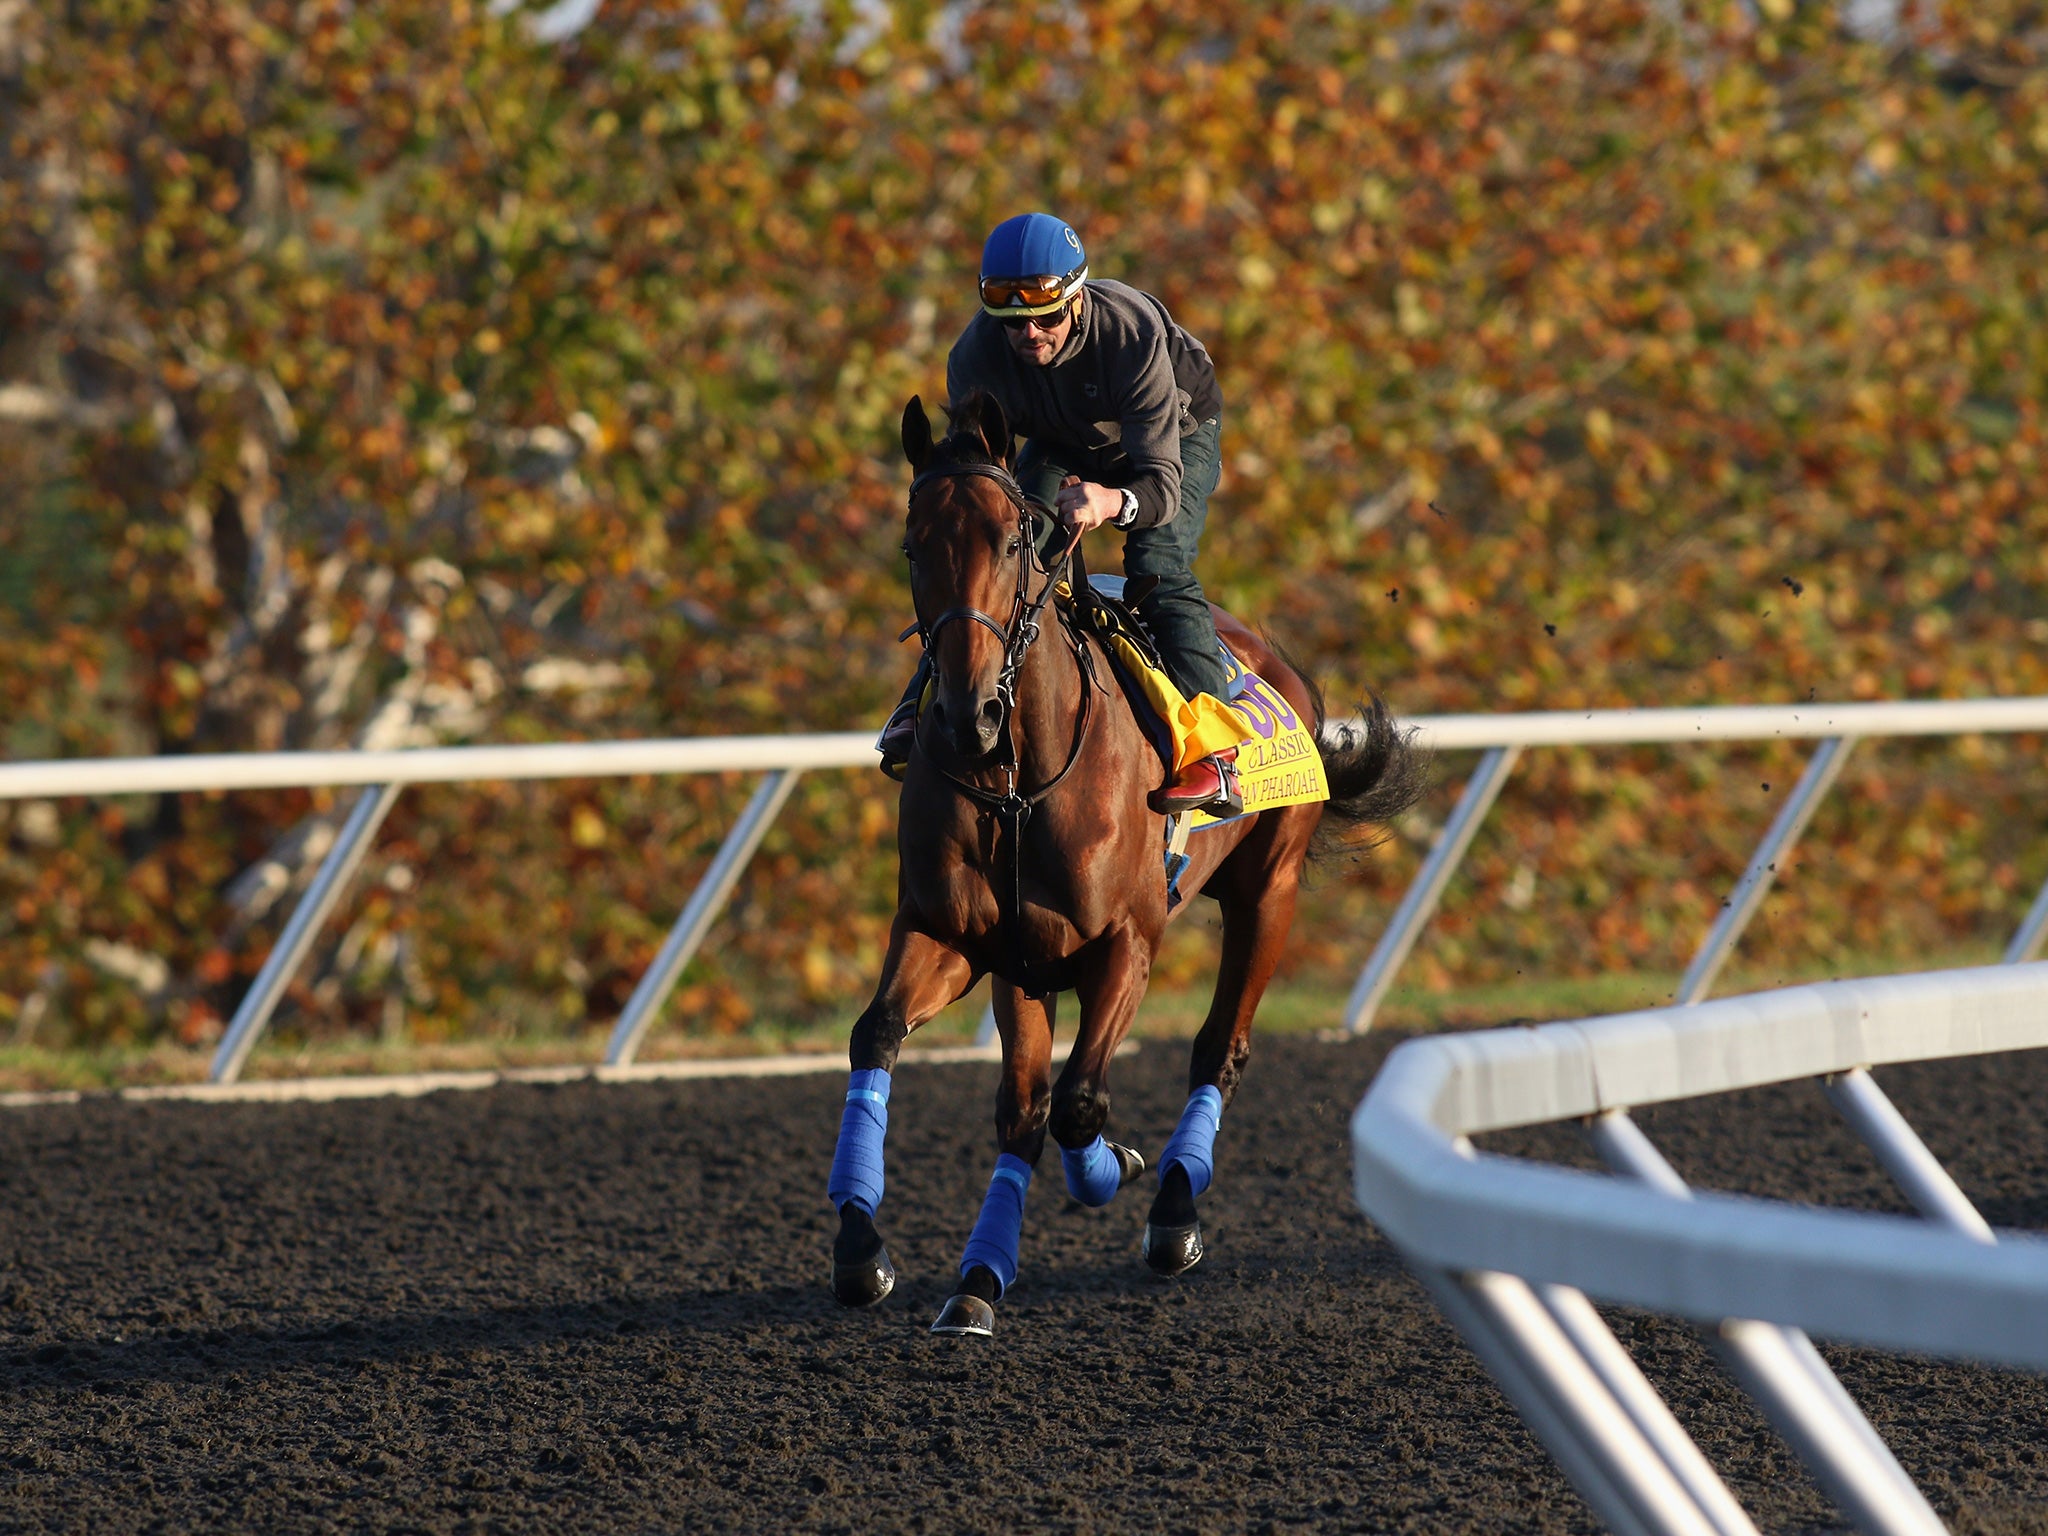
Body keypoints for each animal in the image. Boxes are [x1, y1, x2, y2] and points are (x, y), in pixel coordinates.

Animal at [823, 393, 1433, 1335]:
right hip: (1028, 964)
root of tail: (1276, 667)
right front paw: (874, 1253)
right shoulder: (962, 938)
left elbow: (1079, 1103)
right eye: (914, 546)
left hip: (1268, 891)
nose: (966, 714)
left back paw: (1174, 1212)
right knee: (1025, 1104)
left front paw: (1117, 1167)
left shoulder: (1126, 944)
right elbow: (887, 1040)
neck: (1015, 778)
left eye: (1013, 541)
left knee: (1219, 1048)